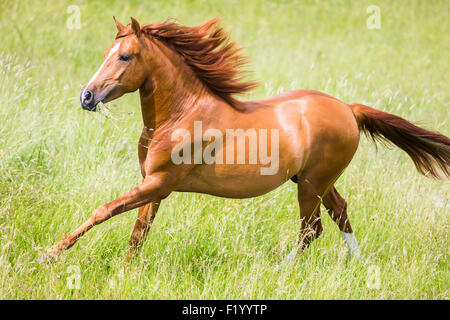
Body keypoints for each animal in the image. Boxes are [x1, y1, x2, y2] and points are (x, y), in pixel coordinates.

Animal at [46, 16, 450, 264]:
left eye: (126, 56)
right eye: (106, 54)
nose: (86, 97)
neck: (180, 115)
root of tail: (349, 109)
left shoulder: (159, 183)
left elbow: (105, 211)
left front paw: (50, 253)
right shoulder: (153, 185)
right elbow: (138, 233)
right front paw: (126, 272)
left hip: (311, 184)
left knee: (311, 229)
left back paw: (280, 270)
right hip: (315, 180)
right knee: (340, 214)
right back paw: (359, 266)